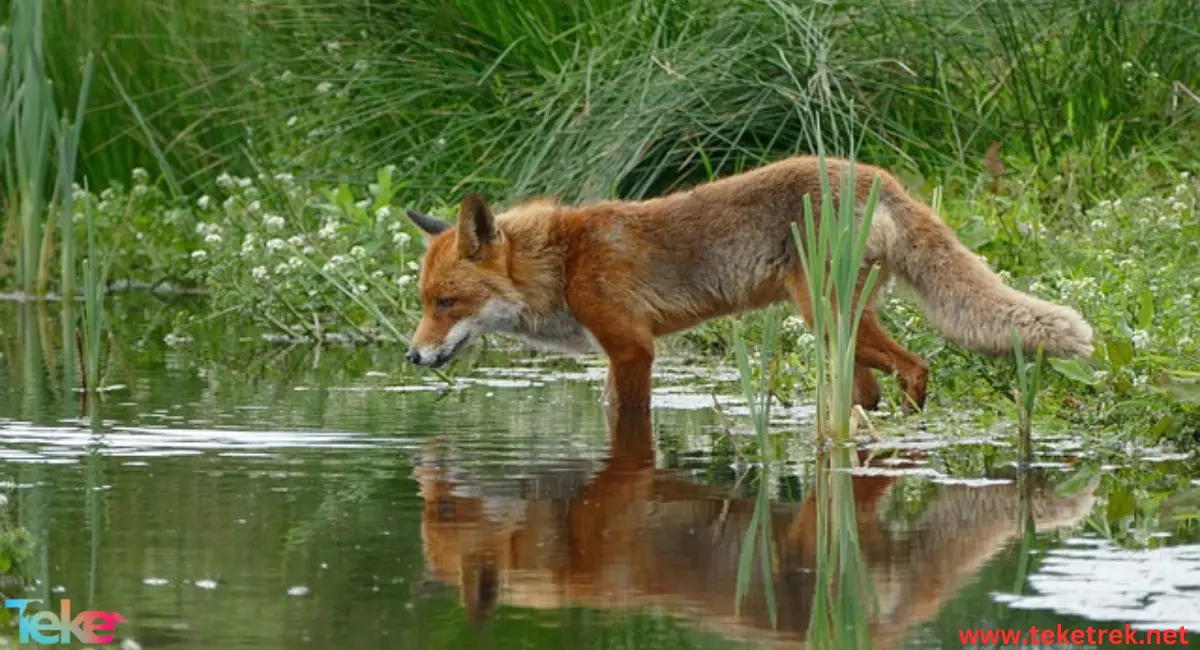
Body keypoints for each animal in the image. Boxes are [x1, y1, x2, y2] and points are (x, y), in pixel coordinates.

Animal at [405, 154, 1099, 410]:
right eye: (424, 303)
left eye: (448, 302)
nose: (411, 357)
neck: (564, 262)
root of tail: (879, 177)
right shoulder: (618, 353)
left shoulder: (633, 350)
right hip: (840, 330)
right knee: (871, 390)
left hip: (826, 315)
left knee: (918, 365)